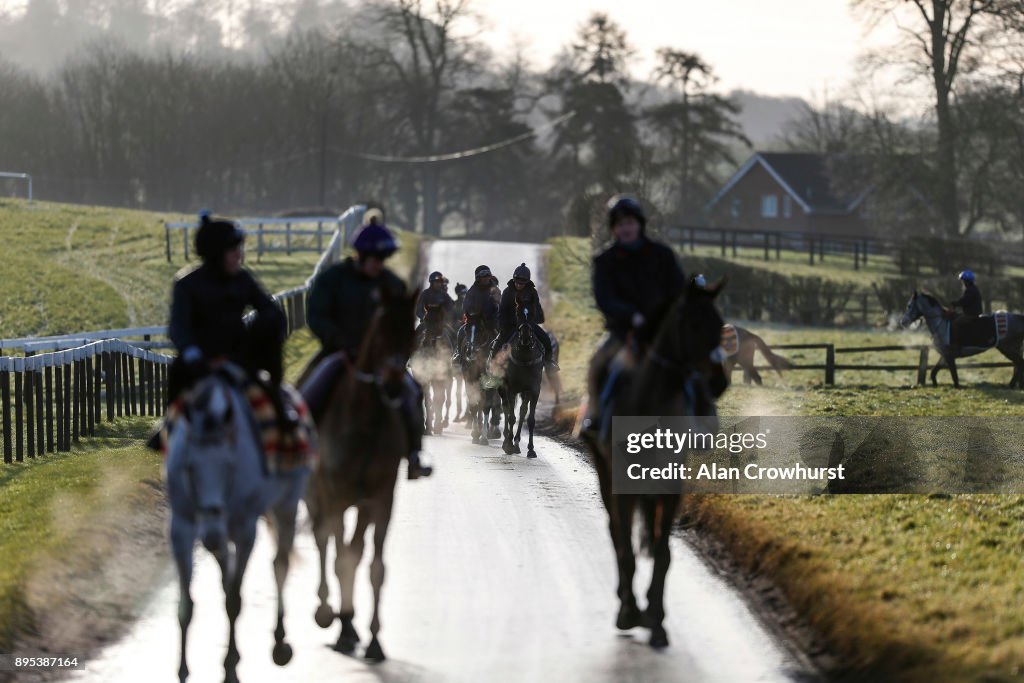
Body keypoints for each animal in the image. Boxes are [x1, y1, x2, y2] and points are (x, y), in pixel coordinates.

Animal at [164, 366, 311, 683]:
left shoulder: (245, 531)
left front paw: (230, 666)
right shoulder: (181, 529)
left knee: (280, 564)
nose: (210, 534)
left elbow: (234, 600)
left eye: (229, 465)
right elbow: (186, 605)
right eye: (189, 467)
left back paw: (279, 641)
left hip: (287, 505)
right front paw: (182, 670)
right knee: (228, 571)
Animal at [303, 288, 415, 663]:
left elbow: (373, 566)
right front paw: (344, 630)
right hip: (317, 497)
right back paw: (326, 612)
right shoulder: (336, 499)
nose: (393, 386)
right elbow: (341, 560)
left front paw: (373, 640)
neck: (365, 425)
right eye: (380, 329)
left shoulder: (379, 502)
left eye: (412, 328)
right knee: (324, 542)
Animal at [409, 305, 454, 436]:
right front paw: (427, 428)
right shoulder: (423, 376)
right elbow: (427, 400)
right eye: (424, 319)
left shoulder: (440, 377)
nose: (425, 341)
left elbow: (439, 399)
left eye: (438, 320)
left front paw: (437, 426)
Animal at [493, 309, 544, 458]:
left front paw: (531, 449)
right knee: (506, 408)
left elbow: (530, 419)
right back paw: (507, 440)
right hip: (503, 389)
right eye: (518, 313)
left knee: (522, 412)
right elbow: (511, 417)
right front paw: (508, 446)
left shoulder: (534, 390)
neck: (525, 360)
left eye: (532, 315)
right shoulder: (510, 388)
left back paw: (516, 443)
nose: (525, 337)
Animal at [581, 278, 733, 651]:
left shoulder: (671, 485)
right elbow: (625, 547)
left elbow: (663, 552)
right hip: (606, 475)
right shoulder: (623, 485)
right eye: (693, 323)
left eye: (719, 322)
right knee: (616, 533)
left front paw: (657, 620)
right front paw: (630, 611)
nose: (718, 381)